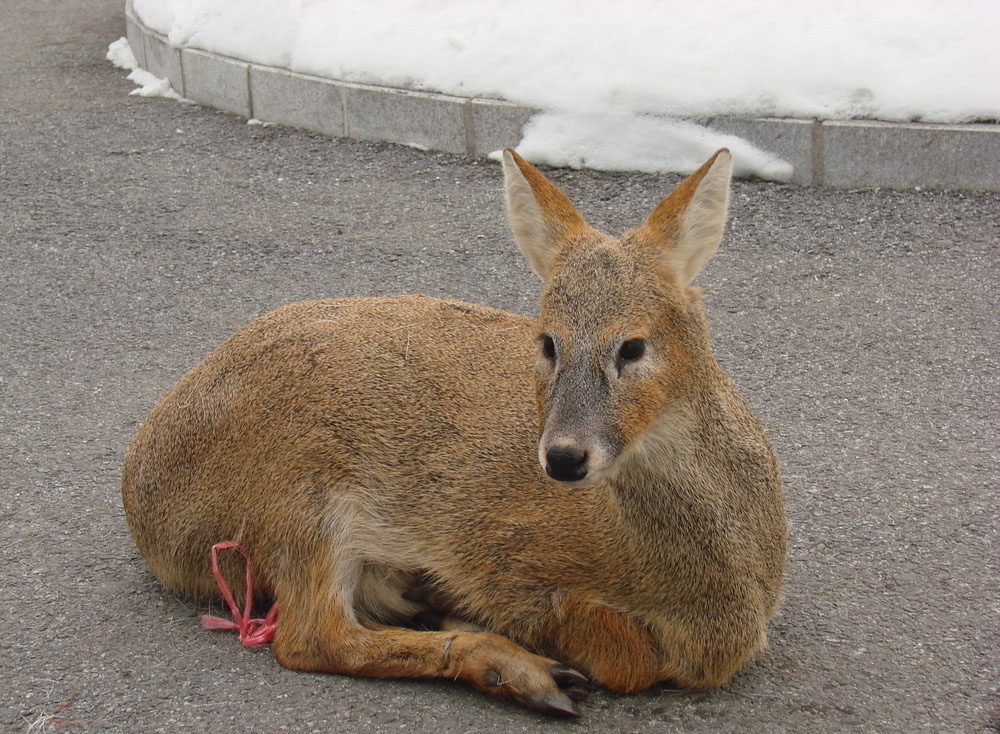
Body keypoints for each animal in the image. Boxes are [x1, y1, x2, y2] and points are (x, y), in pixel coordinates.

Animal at [119, 150, 788, 720]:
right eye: (547, 341)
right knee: (311, 638)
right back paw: (514, 668)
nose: (563, 457)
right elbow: (630, 660)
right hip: (298, 492)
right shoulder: (504, 558)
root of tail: (143, 499)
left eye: (633, 346)